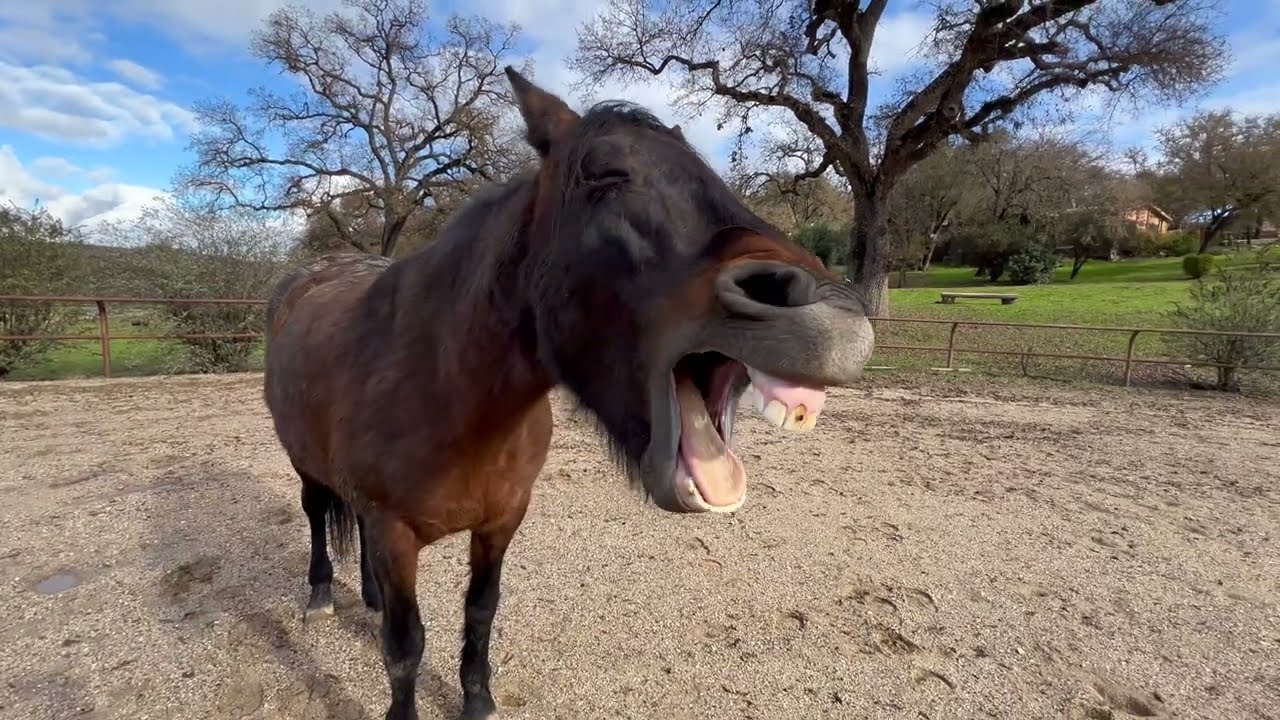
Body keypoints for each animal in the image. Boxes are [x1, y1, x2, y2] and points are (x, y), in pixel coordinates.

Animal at [262, 66, 875, 720]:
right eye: (604, 175)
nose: (831, 313)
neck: (447, 396)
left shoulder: (502, 520)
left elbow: (480, 612)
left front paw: (478, 699)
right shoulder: (395, 534)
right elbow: (404, 648)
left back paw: (370, 594)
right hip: (306, 466)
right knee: (315, 512)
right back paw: (321, 594)